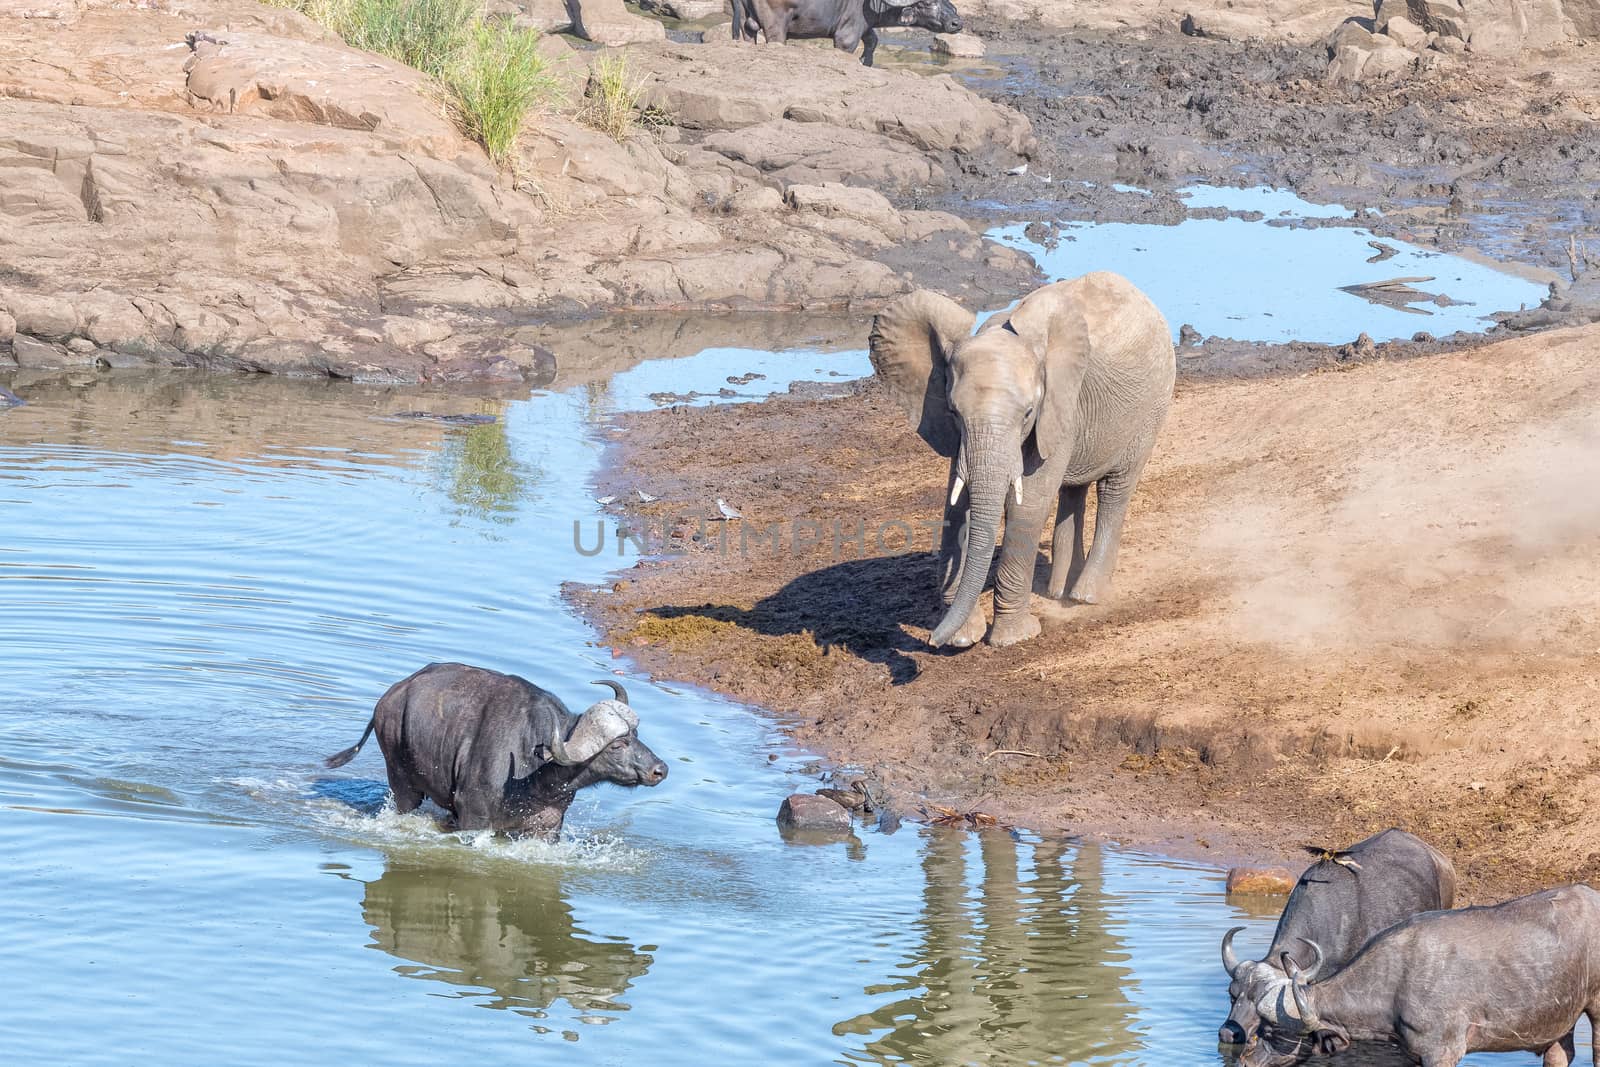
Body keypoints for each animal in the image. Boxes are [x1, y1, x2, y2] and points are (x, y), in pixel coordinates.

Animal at [321, 662, 665, 838]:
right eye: (617, 744)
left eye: (636, 735)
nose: (660, 769)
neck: (535, 769)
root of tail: (388, 700)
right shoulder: (473, 819)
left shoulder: (547, 827)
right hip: (403, 786)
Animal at [729, 0, 960, 66]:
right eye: (928, 3)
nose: (957, 23)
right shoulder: (846, 37)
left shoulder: (864, 27)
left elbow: (873, 40)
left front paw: (866, 61)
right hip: (776, 28)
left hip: (745, 22)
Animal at [870, 271, 1184, 646]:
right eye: (953, 412)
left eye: (1027, 414)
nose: (932, 641)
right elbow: (957, 502)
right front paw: (964, 637)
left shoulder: (1060, 401)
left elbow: (1029, 503)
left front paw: (1012, 638)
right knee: (1073, 490)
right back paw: (1058, 591)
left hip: (1151, 404)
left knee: (1115, 489)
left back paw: (1085, 596)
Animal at [1241, 883, 1600, 1067]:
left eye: (1271, 1030)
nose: (1246, 1061)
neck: (1395, 982)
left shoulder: (1442, 1053)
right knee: (1560, 1054)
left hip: (1597, 1007)